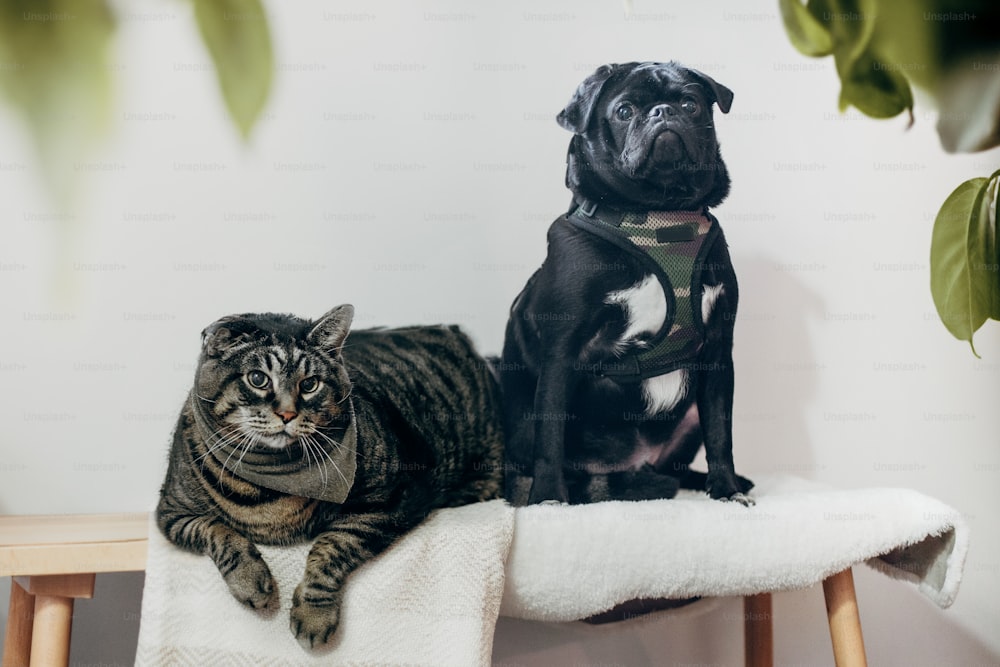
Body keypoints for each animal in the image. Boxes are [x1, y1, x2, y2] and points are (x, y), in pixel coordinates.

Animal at [159, 306, 504, 648]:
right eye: (258, 379)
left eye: (310, 383)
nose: (287, 414)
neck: (270, 485)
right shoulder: (171, 513)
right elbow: (217, 531)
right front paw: (251, 580)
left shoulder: (394, 500)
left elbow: (334, 545)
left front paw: (314, 614)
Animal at [504, 62, 752, 508]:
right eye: (623, 111)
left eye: (690, 104)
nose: (662, 112)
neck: (659, 213)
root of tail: (633, 466)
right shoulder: (561, 353)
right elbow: (549, 436)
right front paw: (548, 498)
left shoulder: (718, 353)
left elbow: (720, 433)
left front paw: (726, 490)